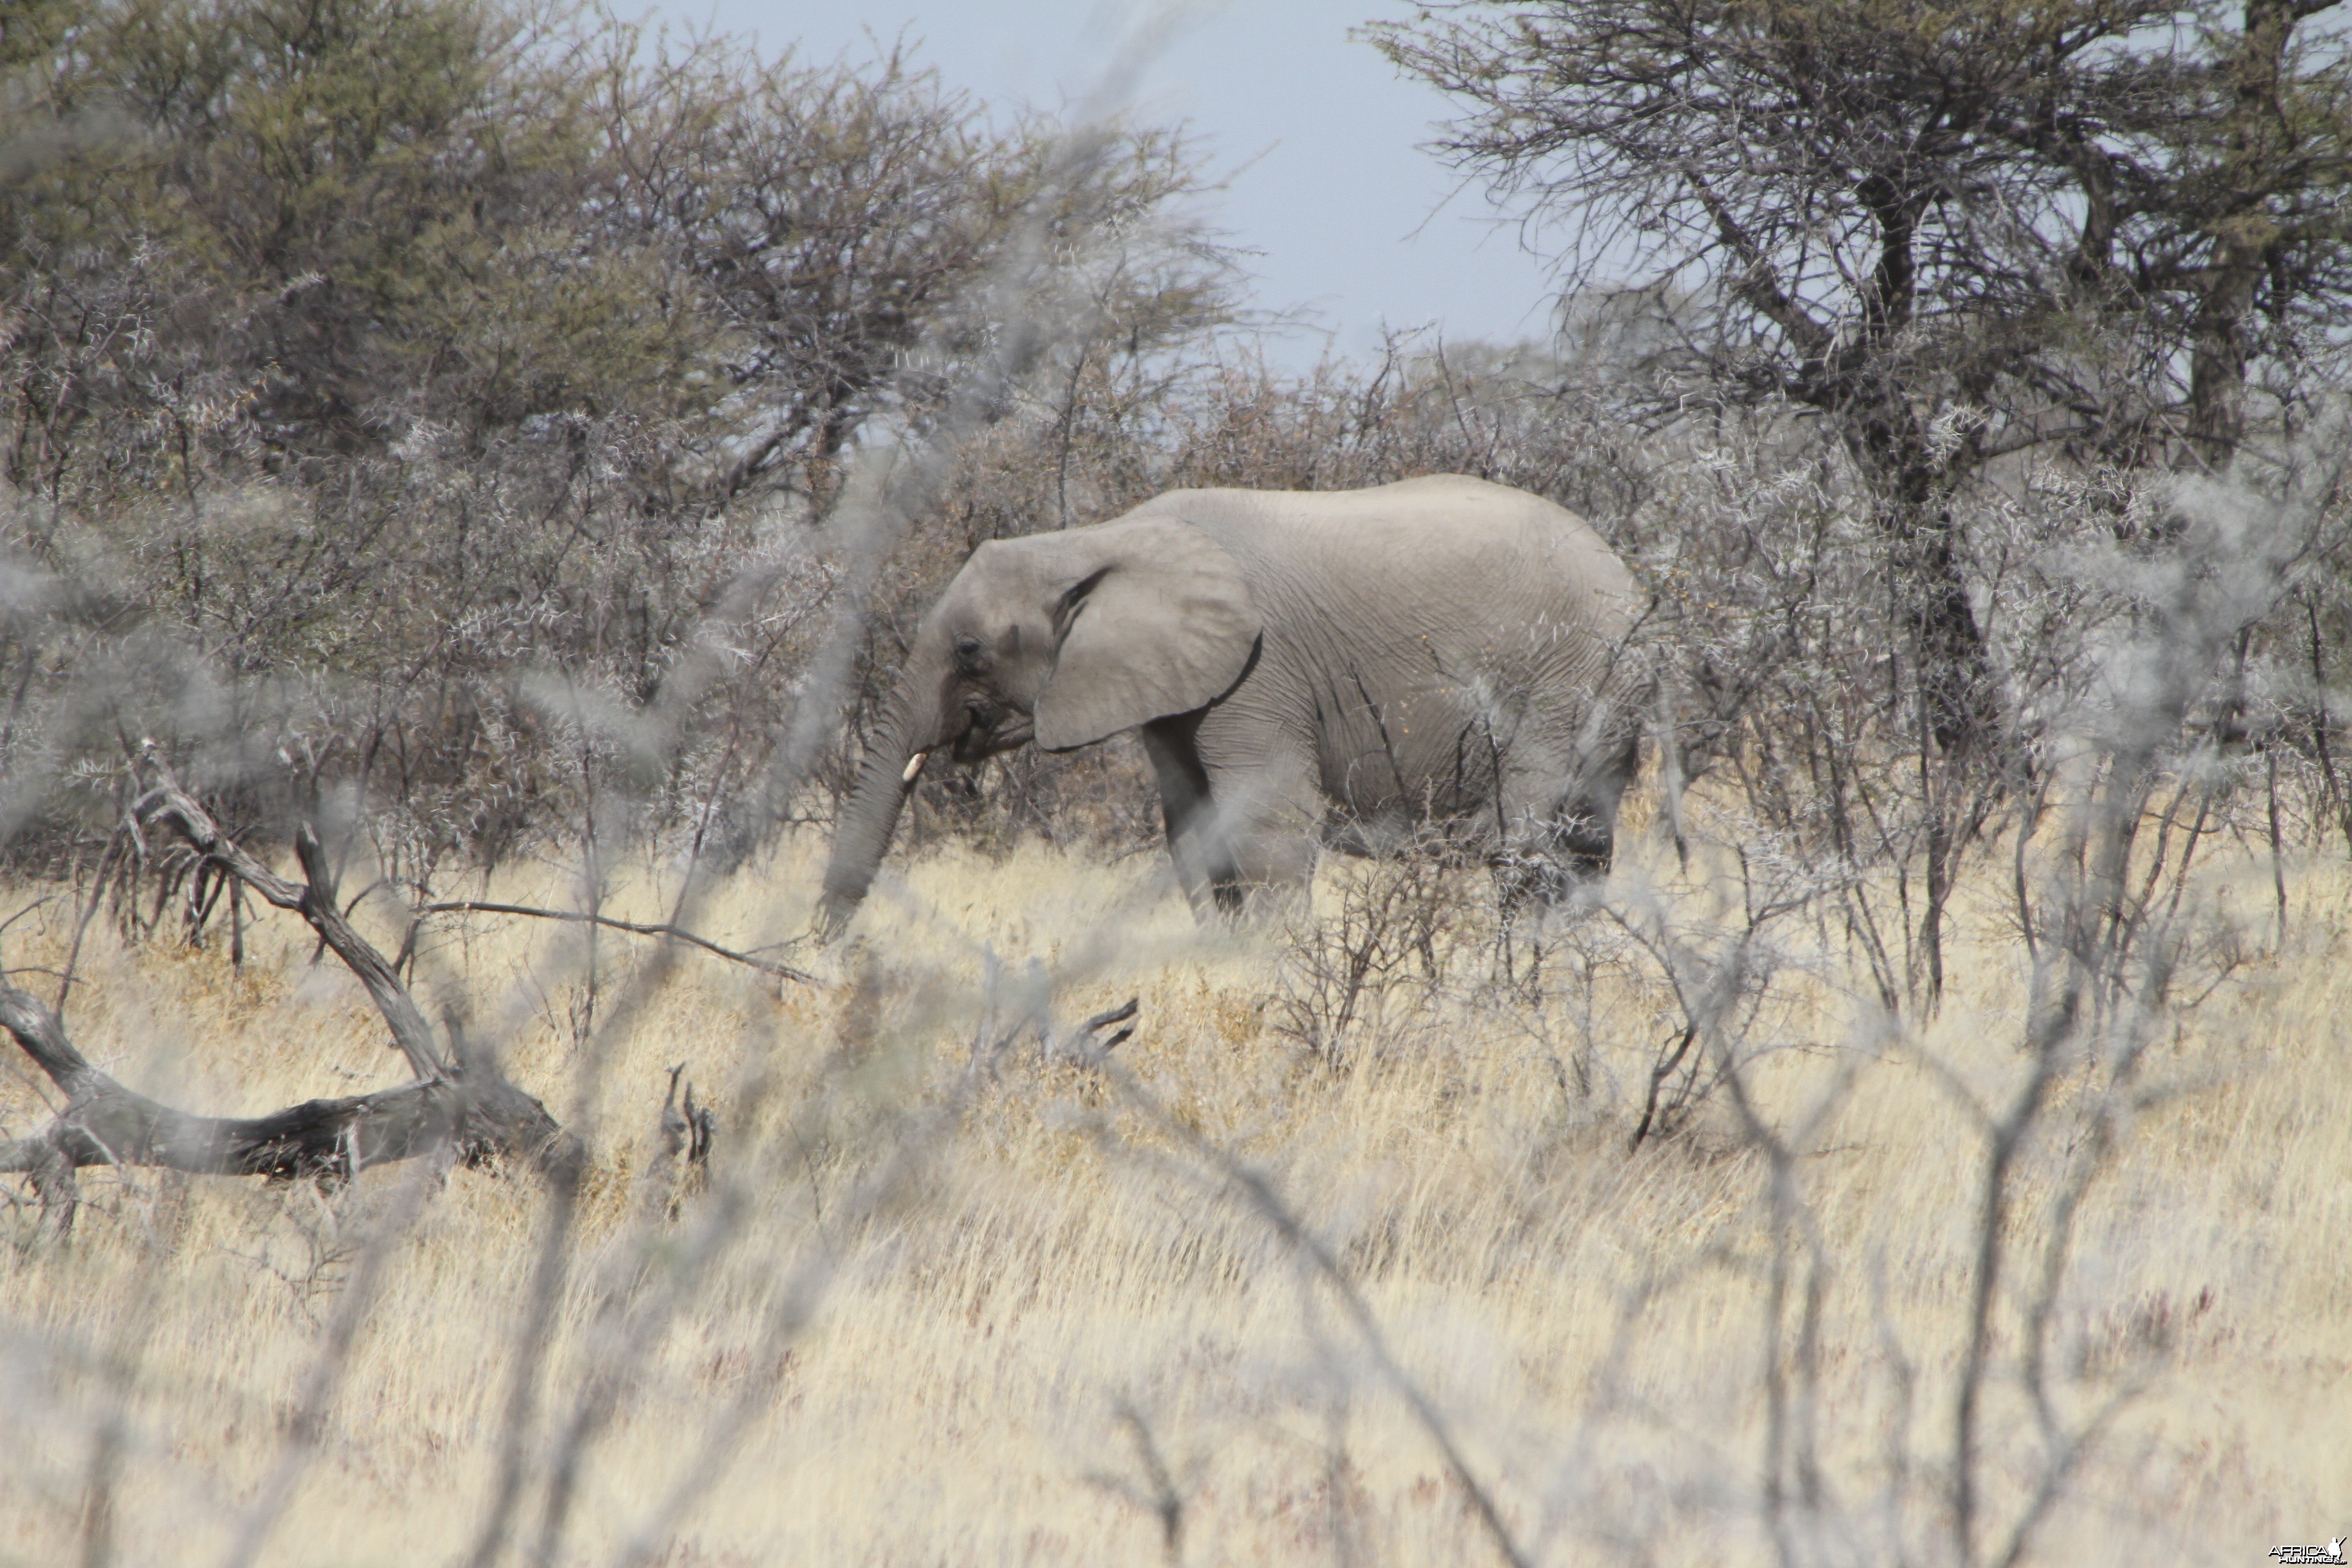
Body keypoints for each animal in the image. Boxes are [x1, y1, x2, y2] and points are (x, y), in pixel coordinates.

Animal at [818, 472, 1646, 940]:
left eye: (969, 651)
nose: (833, 955)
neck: (1097, 540)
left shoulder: (1259, 670)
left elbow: (1264, 823)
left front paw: (1280, 968)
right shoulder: (1174, 686)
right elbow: (1191, 828)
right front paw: (1233, 961)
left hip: (1568, 680)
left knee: (1532, 842)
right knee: (1586, 847)